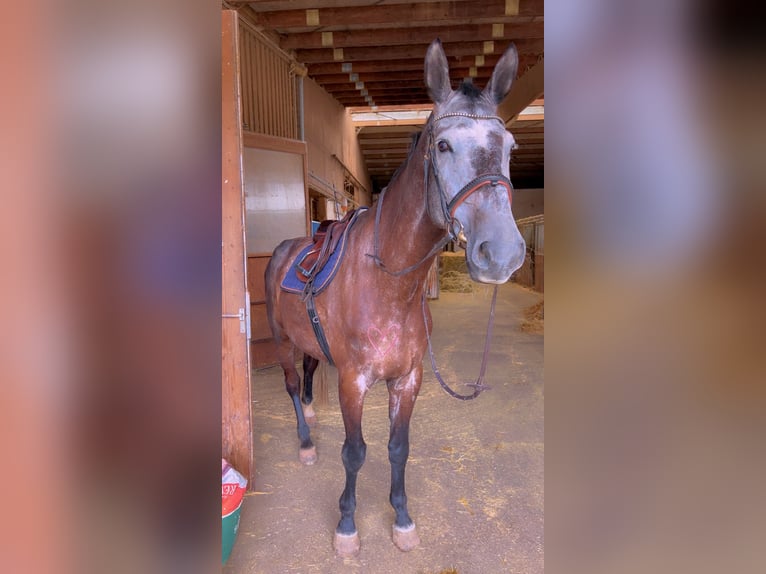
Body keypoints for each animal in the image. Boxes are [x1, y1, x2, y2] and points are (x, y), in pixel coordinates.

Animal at [264, 38, 526, 557]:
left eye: (509, 147)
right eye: (443, 145)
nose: (502, 253)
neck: (388, 287)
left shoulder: (407, 380)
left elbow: (397, 449)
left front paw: (402, 520)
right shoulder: (353, 382)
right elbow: (355, 452)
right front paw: (347, 526)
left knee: (308, 370)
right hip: (281, 340)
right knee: (290, 383)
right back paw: (305, 442)